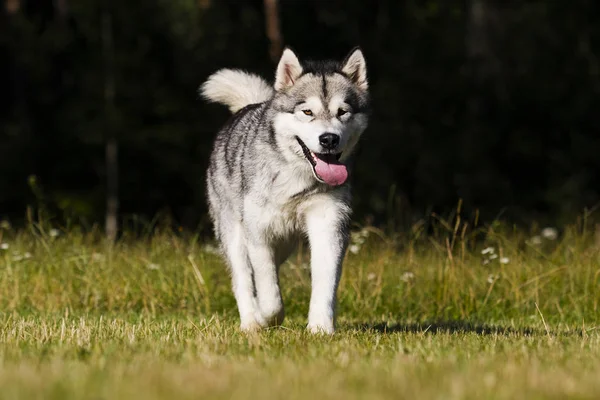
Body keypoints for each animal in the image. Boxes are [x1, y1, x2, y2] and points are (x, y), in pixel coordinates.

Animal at [202, 47, 370, 334]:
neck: (296, 177)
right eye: (307, 112)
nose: (329, 139)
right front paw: (266, 317)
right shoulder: (259, 234)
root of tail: (250, 107)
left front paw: (320, 328)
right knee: (243, 280)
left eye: (342, 112)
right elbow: (269, 294)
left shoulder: (328, 225)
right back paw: (250, 322)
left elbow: (325, 284)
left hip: (285, 243)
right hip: (234, 235)